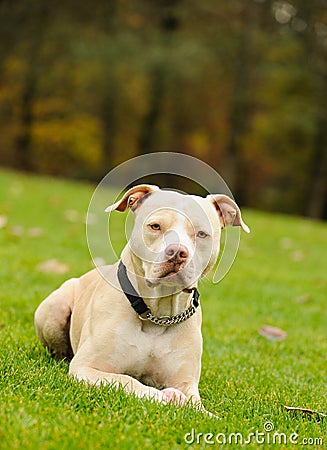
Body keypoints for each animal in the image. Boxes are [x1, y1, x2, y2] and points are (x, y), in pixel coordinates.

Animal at [34, 185, 250, 414]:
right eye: (155, 226)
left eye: (201, 234)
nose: (177, 252)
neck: (157, 315)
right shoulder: (87, 368)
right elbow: (128, 381)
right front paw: (162, 397)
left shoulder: (185, 382)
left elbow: (197, 407)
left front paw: (208, 414)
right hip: (54, 310)